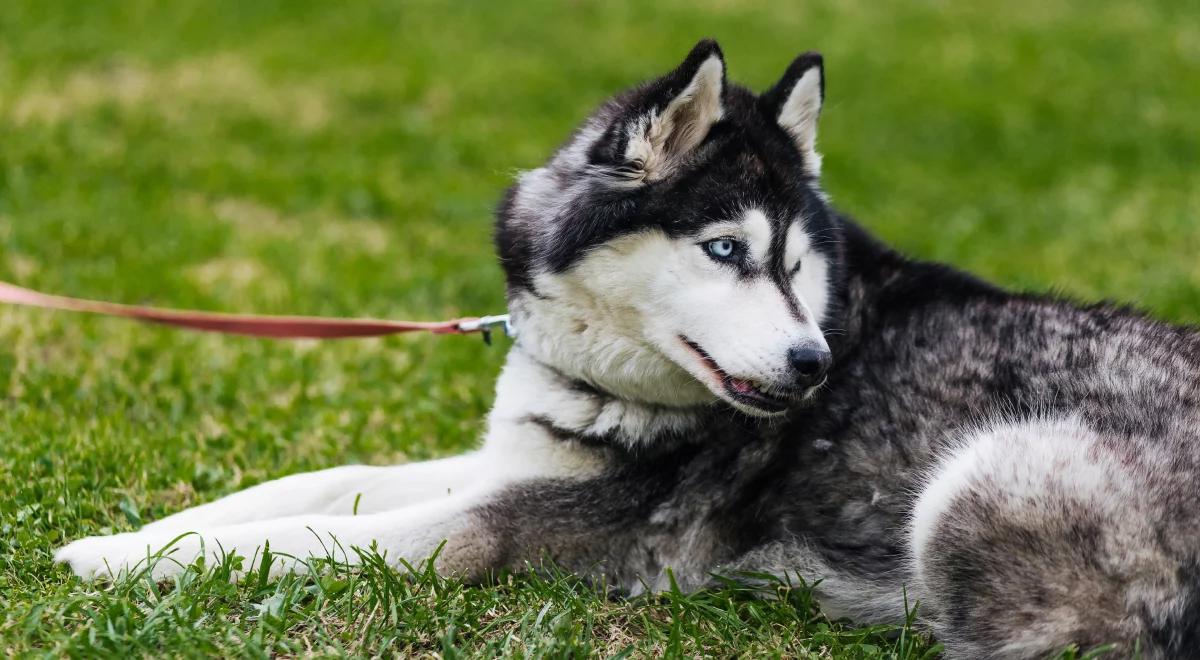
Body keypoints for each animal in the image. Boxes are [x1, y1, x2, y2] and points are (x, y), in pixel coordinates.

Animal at [58, 40, 1200, 657]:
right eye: (727, 249)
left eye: (796, 264)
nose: (815, 367)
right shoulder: (520, 456)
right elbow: (309, 485)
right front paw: (140, 535)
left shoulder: (517, 523)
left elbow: (310, 537)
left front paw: (121, 562)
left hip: (982, 475)